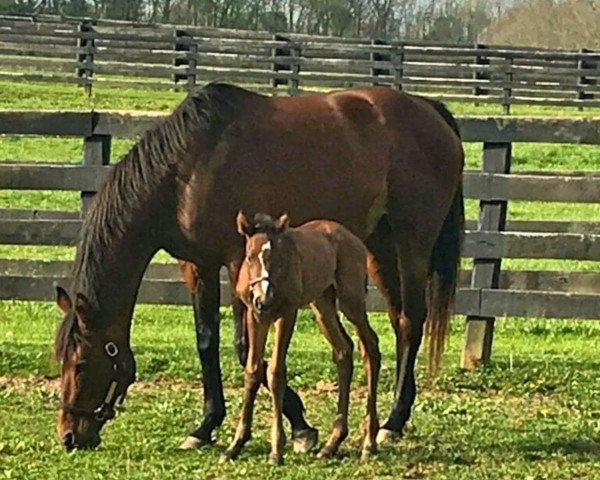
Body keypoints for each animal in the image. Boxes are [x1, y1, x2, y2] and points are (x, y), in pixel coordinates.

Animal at [223, 211, 382, 464]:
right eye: (249, 257)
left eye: (278, 258)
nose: (264, 299)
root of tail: (351, 236)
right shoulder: (255, 315)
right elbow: (253, 370)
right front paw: (235, 445)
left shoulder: (286, 313)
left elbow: (275, 373)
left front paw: (276, 450)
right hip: (322, 303)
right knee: (343, 351)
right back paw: (332, 443)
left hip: (351, 300)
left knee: (370, 347)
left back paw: (369, 443)